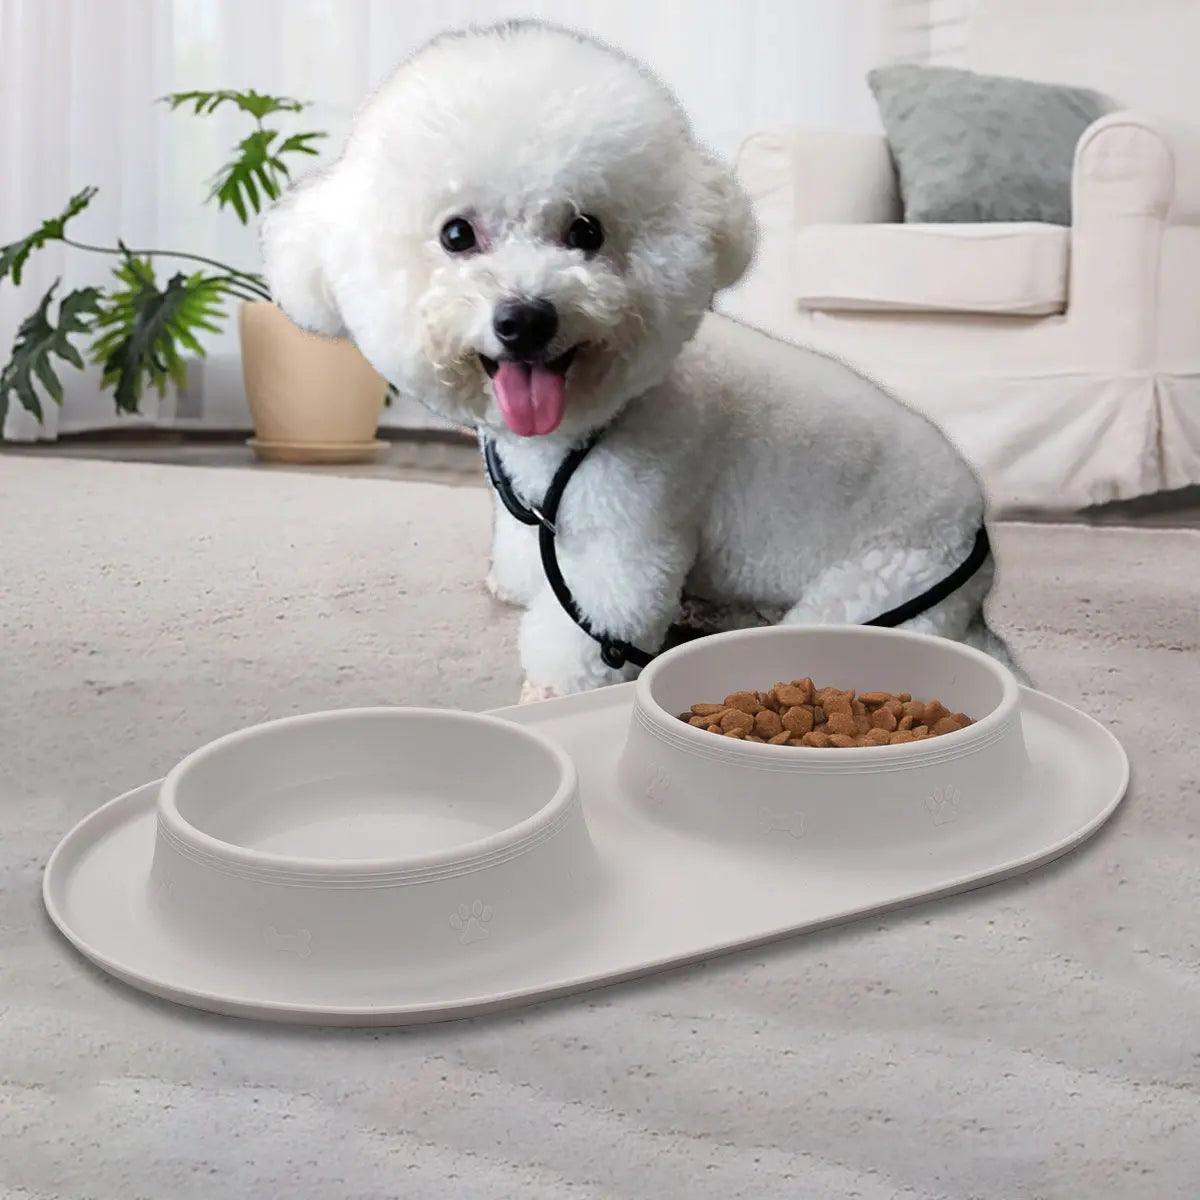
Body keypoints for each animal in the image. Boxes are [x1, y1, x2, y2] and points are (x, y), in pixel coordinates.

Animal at [258, 21, 1027, 700]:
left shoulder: (625, 534)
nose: (526, 318)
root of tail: (977, 558)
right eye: (456, 234)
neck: (583, 423)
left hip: (875, 590)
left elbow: (586, 634)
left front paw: (552, 691)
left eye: (585, 231)